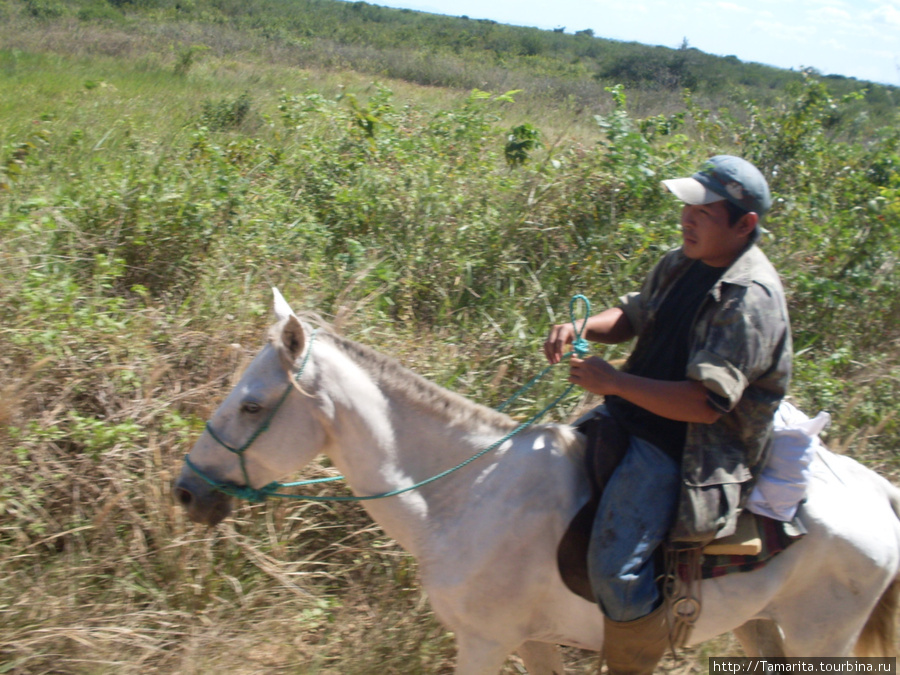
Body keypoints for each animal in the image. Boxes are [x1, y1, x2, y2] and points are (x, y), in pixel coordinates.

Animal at [174, 292, 900, 675]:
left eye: (251, 405)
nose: (185, 491)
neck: (464, 498)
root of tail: (882, 495)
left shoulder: (484, 641)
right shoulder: (534, 640)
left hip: (822, 641)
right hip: (760, 626)